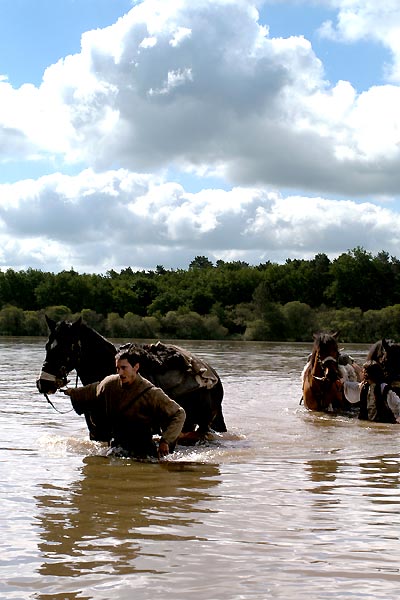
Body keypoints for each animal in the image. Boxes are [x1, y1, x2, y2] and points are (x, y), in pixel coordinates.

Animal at [36, 316, 227, 442]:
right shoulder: (98, 434)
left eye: (65, 348)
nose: (43, 383)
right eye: (47, 346)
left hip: (202, 423)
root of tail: (214, 375)